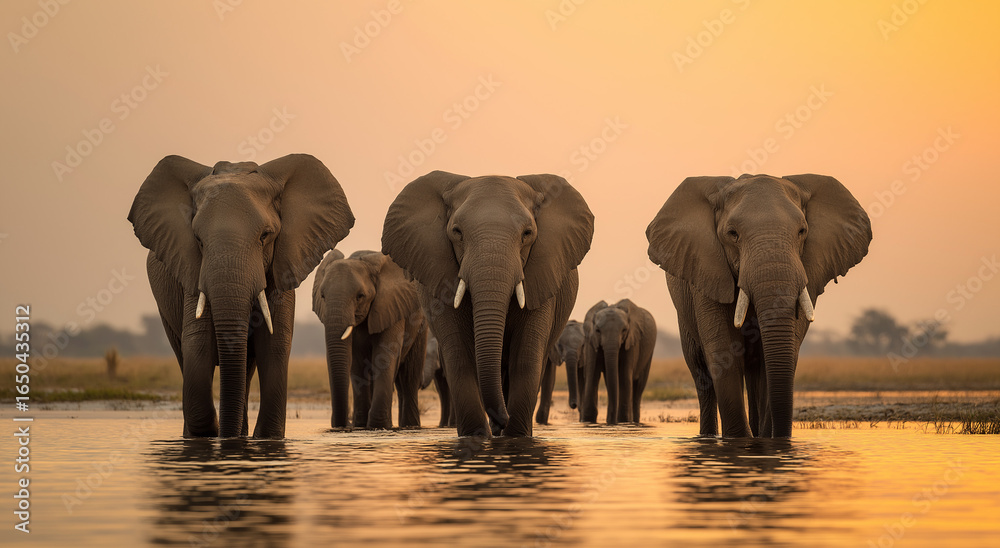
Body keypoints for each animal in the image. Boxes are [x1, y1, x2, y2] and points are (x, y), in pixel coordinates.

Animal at [128, 154, 354, 438]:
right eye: (198, 240)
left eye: (265, 236)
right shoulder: (191, 270)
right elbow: (197, 347)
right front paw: (213, 433)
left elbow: (274, 346)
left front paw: (257, 438)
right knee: (183, 353)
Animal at [312, 249, 427, 430]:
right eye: (323, 296)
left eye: (360, 296)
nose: (346, 424)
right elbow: (357, 362)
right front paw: (361, 426)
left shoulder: (391, 307)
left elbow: (384, 356)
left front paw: (378, 426)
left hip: (420, 326)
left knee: (408, 379)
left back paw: (411, 426)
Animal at [382, 171, 594, 437]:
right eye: (457, 232)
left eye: (527, 233)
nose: (502, 419)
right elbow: (459, 355)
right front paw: (477, 436)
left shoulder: (542, 274)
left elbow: (526, 356)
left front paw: (515, 436)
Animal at [646, 174, 872, 438]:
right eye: (732, 233)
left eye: (802, 231)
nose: (782, 435)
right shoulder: (707, 272)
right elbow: (723, 352)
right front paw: (739, 439)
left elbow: (779, 355)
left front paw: (767, 440)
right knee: (700, 371)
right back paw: (708, 436)